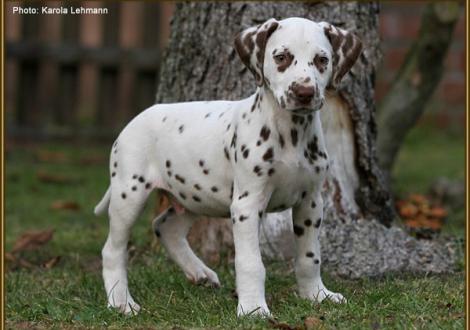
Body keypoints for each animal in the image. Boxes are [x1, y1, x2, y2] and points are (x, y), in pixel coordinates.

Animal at [93, 16, 362, 316]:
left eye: (322, 60)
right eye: (281, 57)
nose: (304, 92)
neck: (291, 133)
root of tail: (132, 122)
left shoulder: (311, 203)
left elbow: (309, 257)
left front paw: (316, 295)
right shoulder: (247, 205)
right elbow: (250, 263)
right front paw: (253, 308)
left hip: (194, 196)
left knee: (165, 226)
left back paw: (199, 272)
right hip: (129, 194)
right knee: (113, 250)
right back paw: (121, 301)